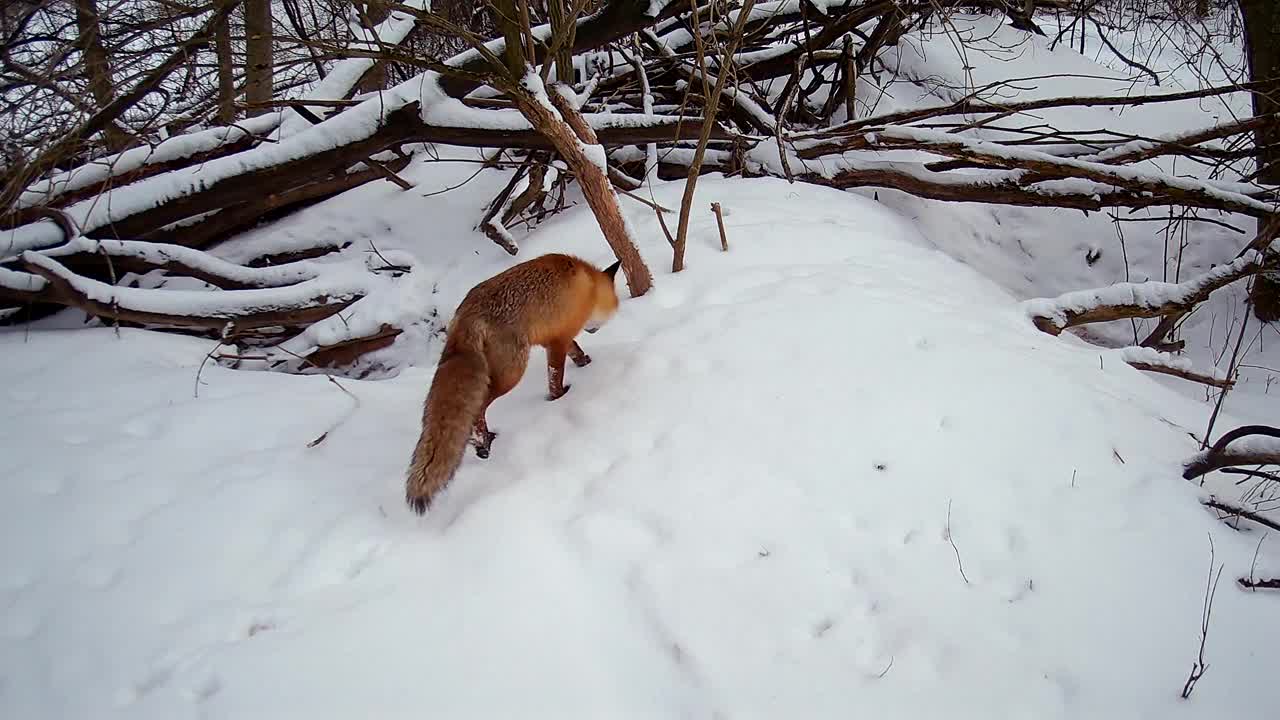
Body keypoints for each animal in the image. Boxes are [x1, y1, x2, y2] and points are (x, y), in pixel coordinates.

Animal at [401, 252, 616, 509]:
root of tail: (465, 315)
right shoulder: (558, 340)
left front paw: (584, 362)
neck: (589, 283)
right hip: (512, 373)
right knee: (479, 408)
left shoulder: (553, 338)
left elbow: (574, 351)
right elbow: (555, 375)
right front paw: (559, 397)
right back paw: (484, 445)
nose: (596, 329)